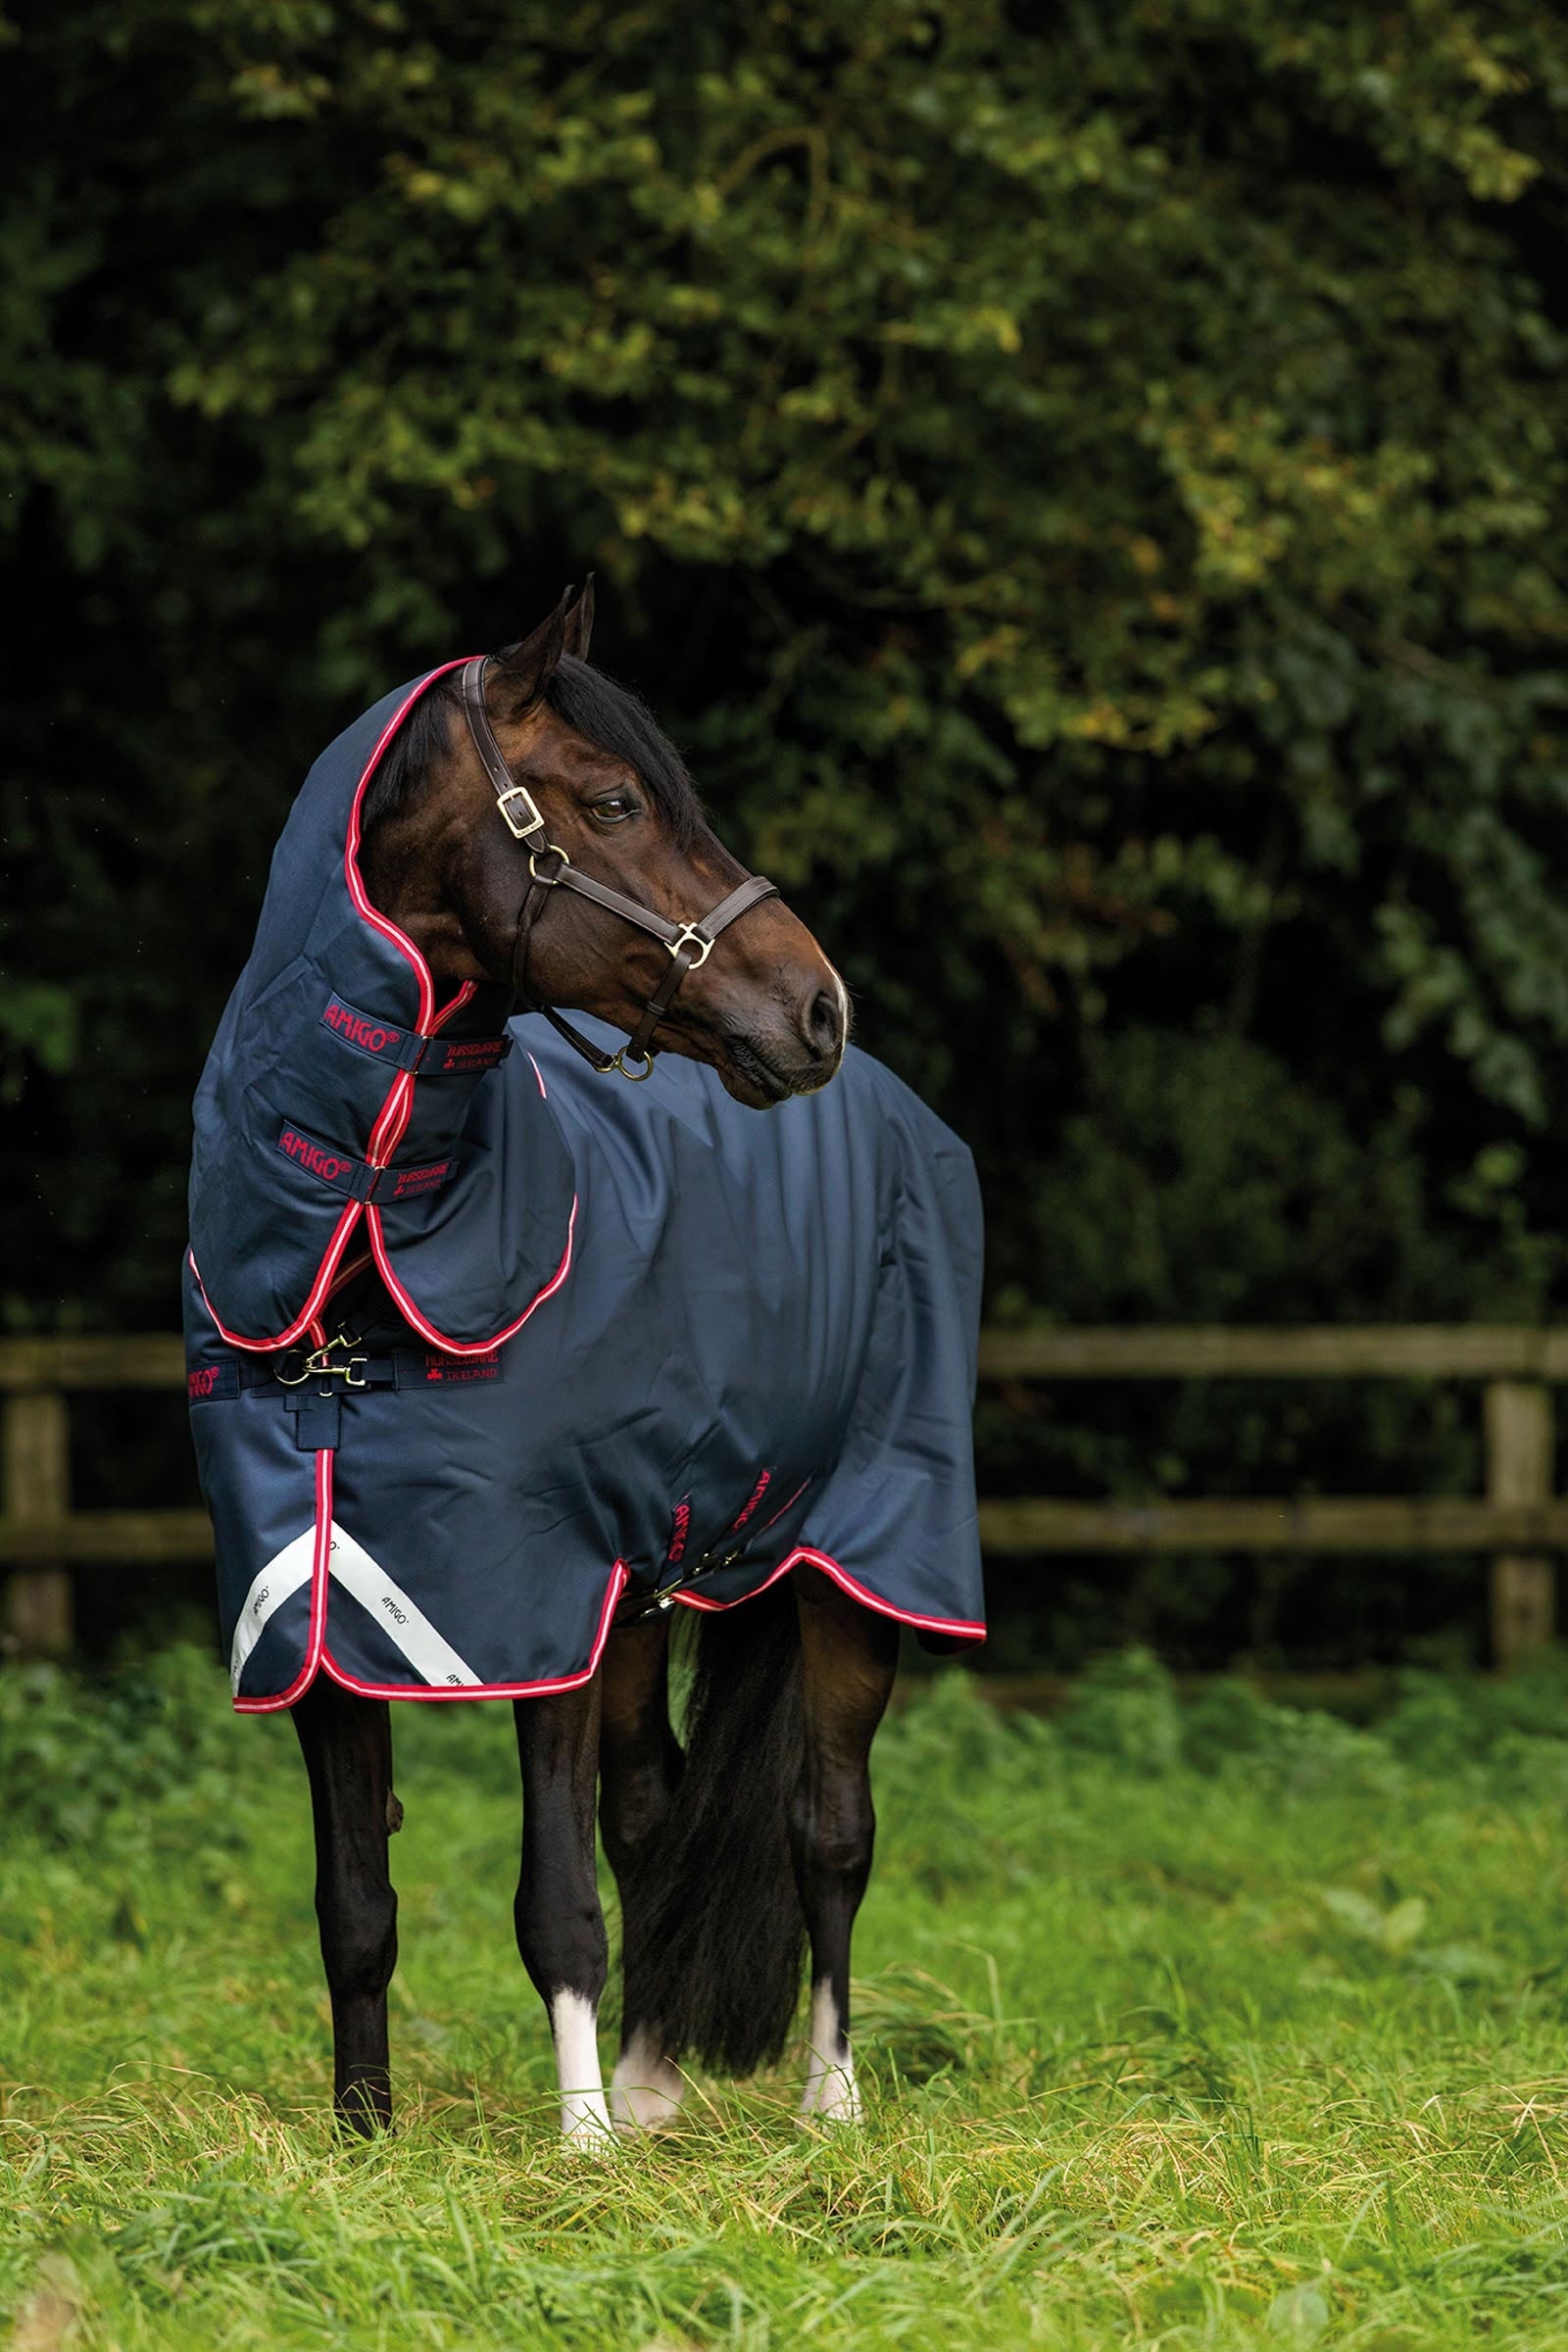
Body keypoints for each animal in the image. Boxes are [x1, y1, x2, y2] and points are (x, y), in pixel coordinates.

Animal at [184, 582, 985, 2141]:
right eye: (615, 801)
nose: (818, 1009)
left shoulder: (535, 1601)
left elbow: (553, 1899)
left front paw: (580, 2147)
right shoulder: (319, 1622)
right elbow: (355, 1905)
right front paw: (365, 2138)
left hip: (860, 1564)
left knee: (830, 1830)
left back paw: (828, 2103)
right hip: (651, 1581)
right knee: (656, 1806)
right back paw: (658, 2082)